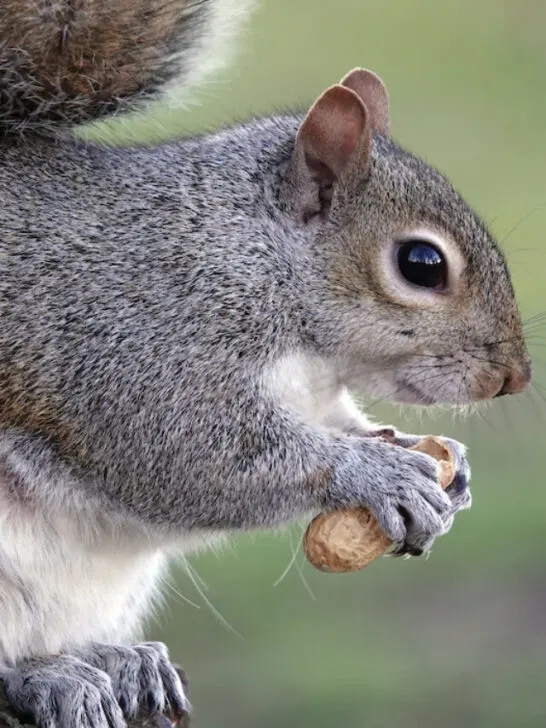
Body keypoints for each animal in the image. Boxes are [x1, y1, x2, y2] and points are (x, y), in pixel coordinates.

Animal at [0, 1, 532, 727]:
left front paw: (441, 462)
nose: (515, 378)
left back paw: (119, 661)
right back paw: (48, 678)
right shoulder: (144, 346)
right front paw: (378, 473)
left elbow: (351, 425)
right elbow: (197, 456)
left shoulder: (318, 396)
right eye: (421, 264)